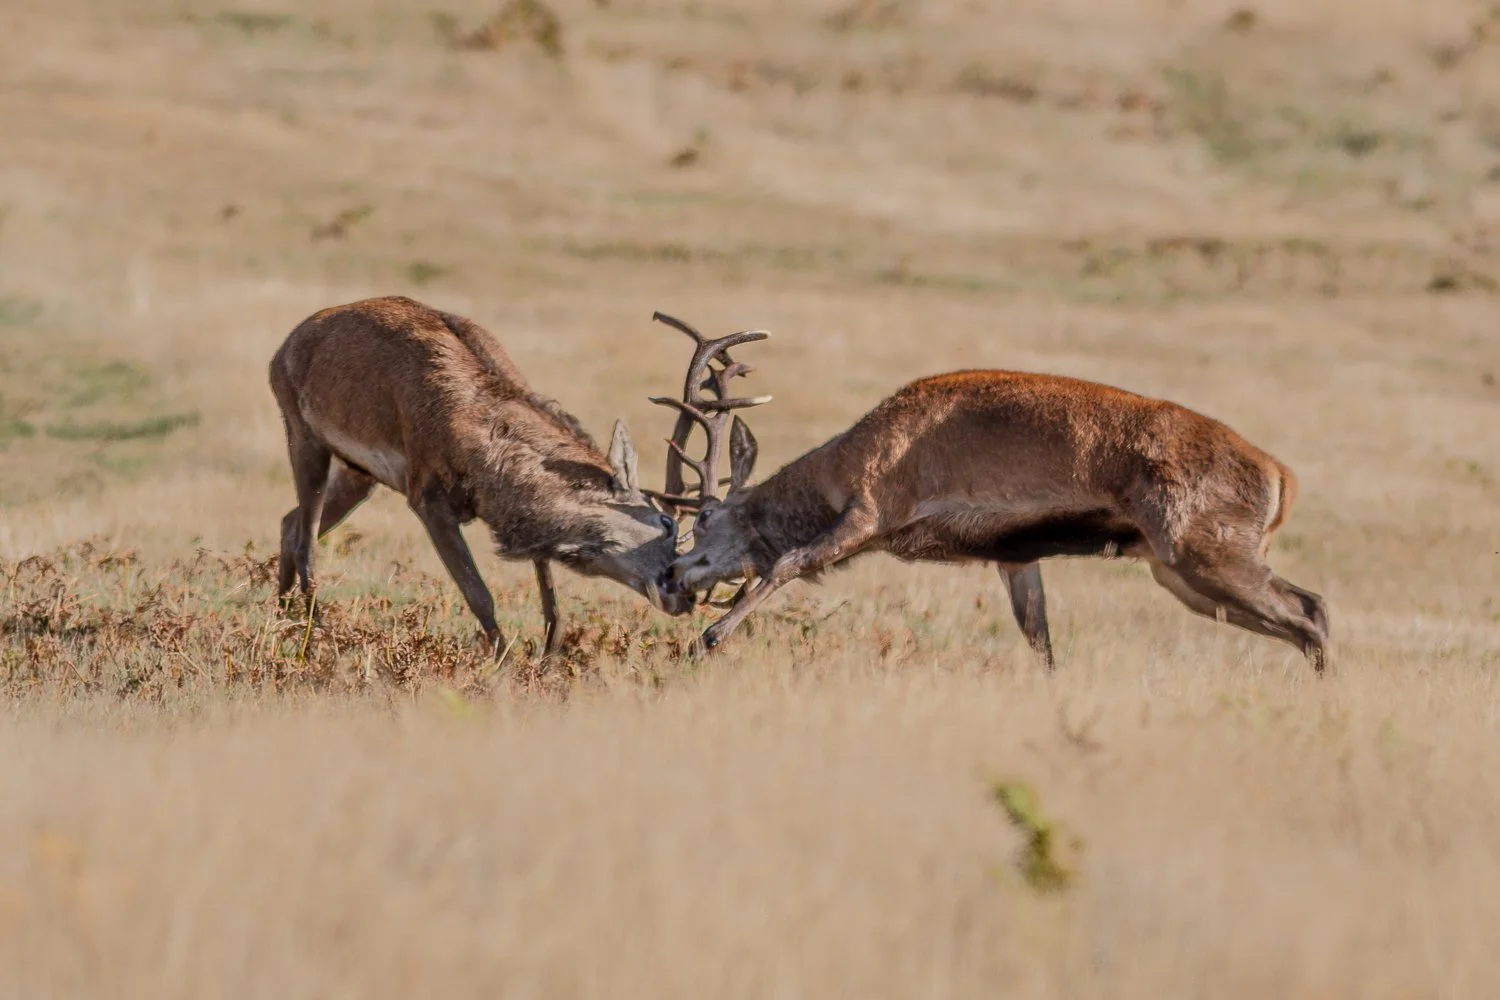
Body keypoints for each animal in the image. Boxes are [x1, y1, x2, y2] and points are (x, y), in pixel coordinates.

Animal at [268, 295, 693, 657]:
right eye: (667, 521)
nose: (687, 595)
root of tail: (282, 350)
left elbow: (550, 592)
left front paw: (549, 654)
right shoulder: (427, 498)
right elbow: (479, 593)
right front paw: (505, 663)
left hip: (359, 473)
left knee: (290, 521)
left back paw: (281, 614)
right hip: (303, 432)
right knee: (307, 537)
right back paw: (312, 634)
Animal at [649, 316, 1331, 671]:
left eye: (705, 517)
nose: (672, 575)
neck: (840, 466)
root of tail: (1282, 479)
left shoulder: (871, 509)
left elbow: (790, 562)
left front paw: (707, 643)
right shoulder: (1014, 554)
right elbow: (1041, 639)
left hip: (1204, 550)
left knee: (1311, 610)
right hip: (1181, 574)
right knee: (1306, 615)